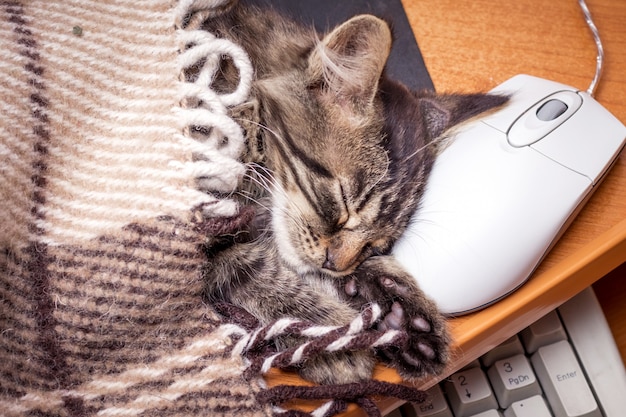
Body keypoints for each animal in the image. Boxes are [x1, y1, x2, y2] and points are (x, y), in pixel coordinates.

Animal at [191, 0, 508, 384]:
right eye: (343, 202)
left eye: (378, 243)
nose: (334, 263)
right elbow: (249, 267)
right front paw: (329, 338)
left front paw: (400, 312)